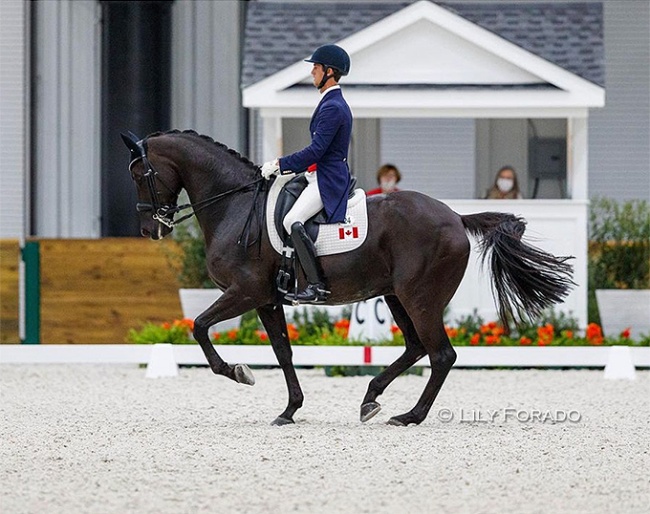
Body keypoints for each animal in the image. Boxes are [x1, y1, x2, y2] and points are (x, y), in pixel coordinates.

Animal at [121, 129, 572, 424]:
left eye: (140, 174)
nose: (149, 229)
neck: (235, 204)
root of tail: (455, 217)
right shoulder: (266, 298)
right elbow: (283, 352)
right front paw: (290, 410)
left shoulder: (244, 292)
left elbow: (198, 326)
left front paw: (238, 372)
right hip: (396, 295)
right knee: (416, 348)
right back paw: (371, 398)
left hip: (420, 297)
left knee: (441, 354)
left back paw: (410, 416)